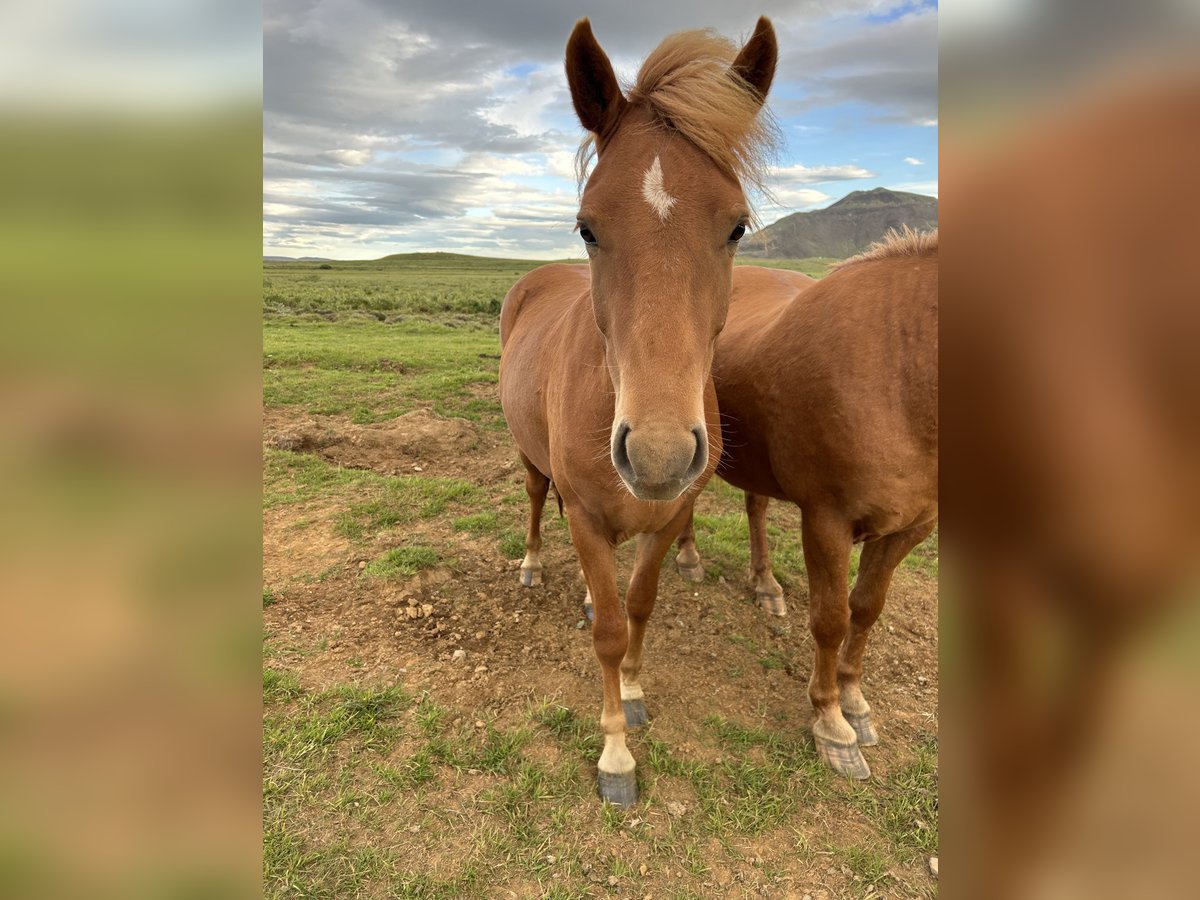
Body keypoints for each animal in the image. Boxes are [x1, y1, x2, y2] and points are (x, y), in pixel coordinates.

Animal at [496, 17, 777, 806]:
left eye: (737, 226)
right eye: (587, 227)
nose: (656, 455)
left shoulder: (669, 517)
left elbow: (641, 605)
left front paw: (634, 690)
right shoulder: (591, 523)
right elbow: (611, 632)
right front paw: (615, 752)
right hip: (529, 460)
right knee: (537, 500)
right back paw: (533, 563)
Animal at [676, 229, 936, 777]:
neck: (901, 368)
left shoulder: (910, 529)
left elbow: (867, 609)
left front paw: (854, 701)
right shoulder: (826, 522)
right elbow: (831, 618)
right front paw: (831, 722)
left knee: (756, 509)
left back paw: (765, 583)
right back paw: (688, 557)